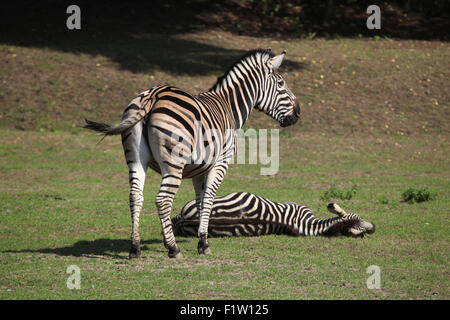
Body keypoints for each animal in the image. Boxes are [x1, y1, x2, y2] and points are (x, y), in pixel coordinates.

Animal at [85, 48, 302, 258]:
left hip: (136, 159)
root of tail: (153, 95)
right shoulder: (220, 163)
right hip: (174, 163)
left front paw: (200, 237)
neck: (229, 107)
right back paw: (173, 249)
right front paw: (204, 243)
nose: (298, 113)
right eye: (281, 83)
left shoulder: (199, 169)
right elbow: (208, 200)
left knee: (135, 196)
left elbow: (200, 201)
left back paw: (135, 248)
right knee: (163, 200)